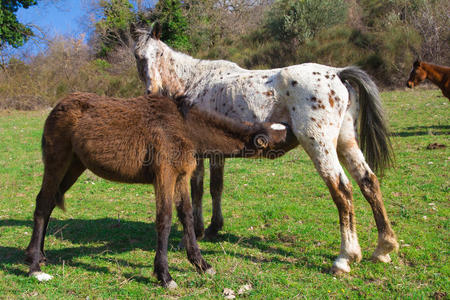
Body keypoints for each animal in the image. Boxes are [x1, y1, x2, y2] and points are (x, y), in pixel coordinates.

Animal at [133, 24, 398, 274]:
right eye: (138, 56)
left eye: (158, 53)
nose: (151, 91)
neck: (194, 83)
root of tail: (337, 73)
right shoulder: (216, 154)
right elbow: (215, 188)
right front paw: (213, 227)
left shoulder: (198, 154)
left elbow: (197, 190)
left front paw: (196, 232)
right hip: (346, 142)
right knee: (368, 182)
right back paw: (384, 247)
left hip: (319, 145)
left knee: (342, 190)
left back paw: (345, 258)